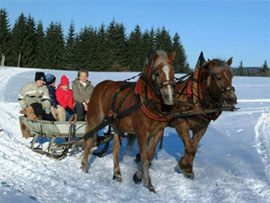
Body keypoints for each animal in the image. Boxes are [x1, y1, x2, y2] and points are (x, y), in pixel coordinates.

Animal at [82, 49, 175, 192]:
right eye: (157, 73)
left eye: (173, 72)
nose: (169, 97)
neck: (147, 102)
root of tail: (101, 85)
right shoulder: (142, 133)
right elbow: (144, 157)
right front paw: (148, 183)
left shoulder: (158, 132)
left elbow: (149, 155)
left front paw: (138, 176)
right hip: (95, 120)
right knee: (88, 142)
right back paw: (84, 168)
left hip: (117, 126)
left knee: (115, 148)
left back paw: (117, 174)